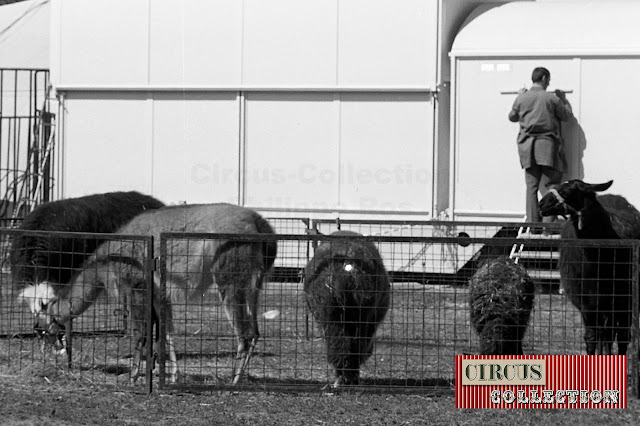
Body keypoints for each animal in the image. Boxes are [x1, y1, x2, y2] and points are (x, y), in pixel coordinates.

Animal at [19, 202, 276, 382]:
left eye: (40, 330)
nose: (48, 353)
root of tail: (259, 222)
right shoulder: (160, 293)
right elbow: (167, 332)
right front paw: (173, 376)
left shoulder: (137, 286)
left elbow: (141, 334)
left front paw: (133, 377)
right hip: (255, 282)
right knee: (255, 331)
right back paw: (241, 377)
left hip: (231, 276)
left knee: (244, 333)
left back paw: (233, 381)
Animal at [304, 231, 390, 388]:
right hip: (356, 314)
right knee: (352, 346)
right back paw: (348, 378)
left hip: (332, 313)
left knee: (340, 345)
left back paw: (344, 378)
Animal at [536, 180, 632, 356]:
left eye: (568, 191)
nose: (541, 204)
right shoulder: (586, 305)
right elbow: (591, 338)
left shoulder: (624, 300)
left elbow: (622, 337)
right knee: (604, 334)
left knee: (614, 334)